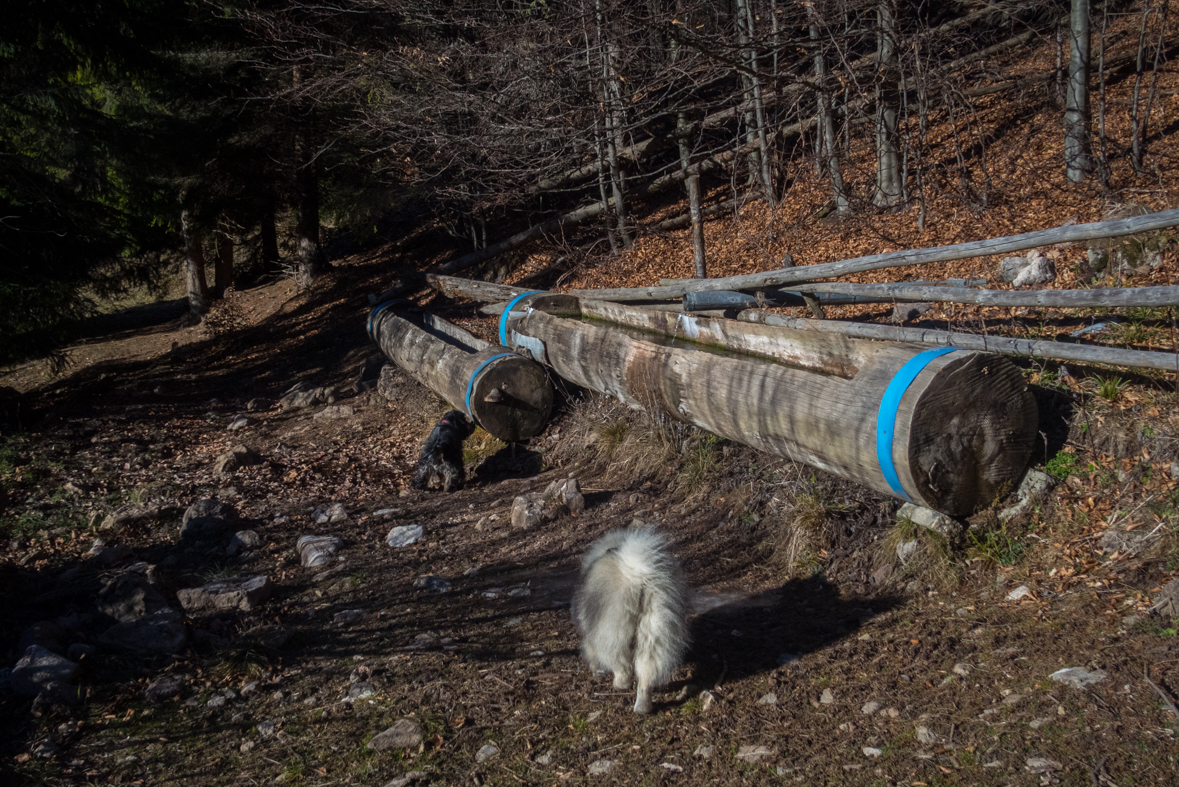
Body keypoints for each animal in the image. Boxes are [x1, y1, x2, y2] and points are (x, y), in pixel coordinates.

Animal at [570, 527, 688, 711]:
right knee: (646, 674)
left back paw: (619, 685)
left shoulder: (590, 635)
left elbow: (592, 654)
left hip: (612, 634)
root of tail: (639, 576)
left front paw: (596, 672)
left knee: (622, 667)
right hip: (654, 629)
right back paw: (643, 707)